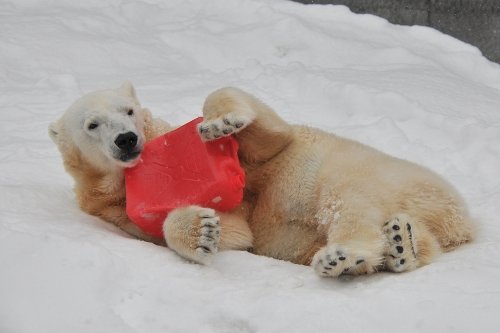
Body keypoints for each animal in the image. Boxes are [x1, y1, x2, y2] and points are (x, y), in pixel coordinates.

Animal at [48, 82, 474, 274]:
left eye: (129, 110)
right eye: (92, 124)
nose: (127, 139)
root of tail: (462, 221)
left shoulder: (252, 158)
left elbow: (272, 139)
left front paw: (221, 122)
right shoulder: (116, 211)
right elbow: (238, 232)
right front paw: (201, 230)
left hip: (381, 172)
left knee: (346, 197)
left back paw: (353, 252)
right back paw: (397, 246)